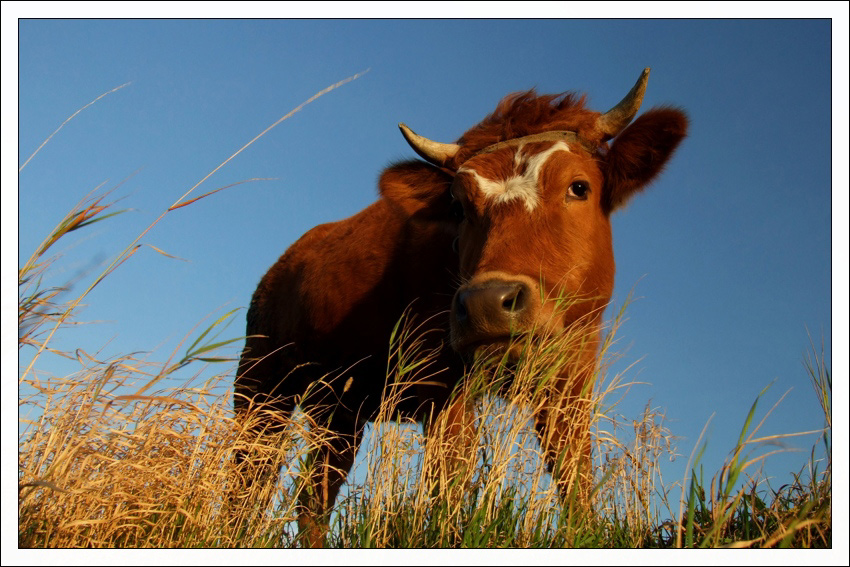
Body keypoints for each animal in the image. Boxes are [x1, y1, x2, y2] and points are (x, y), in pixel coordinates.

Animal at [235, 69, 684, 548]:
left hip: (339, 407)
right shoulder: (439, 385)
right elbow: (450, 479)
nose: (487, 303)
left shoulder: (571, 380)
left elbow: (574, 476)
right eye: (458, 206)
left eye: (578, 187)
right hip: (260, 384)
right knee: (247, 481)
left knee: (313, 495)